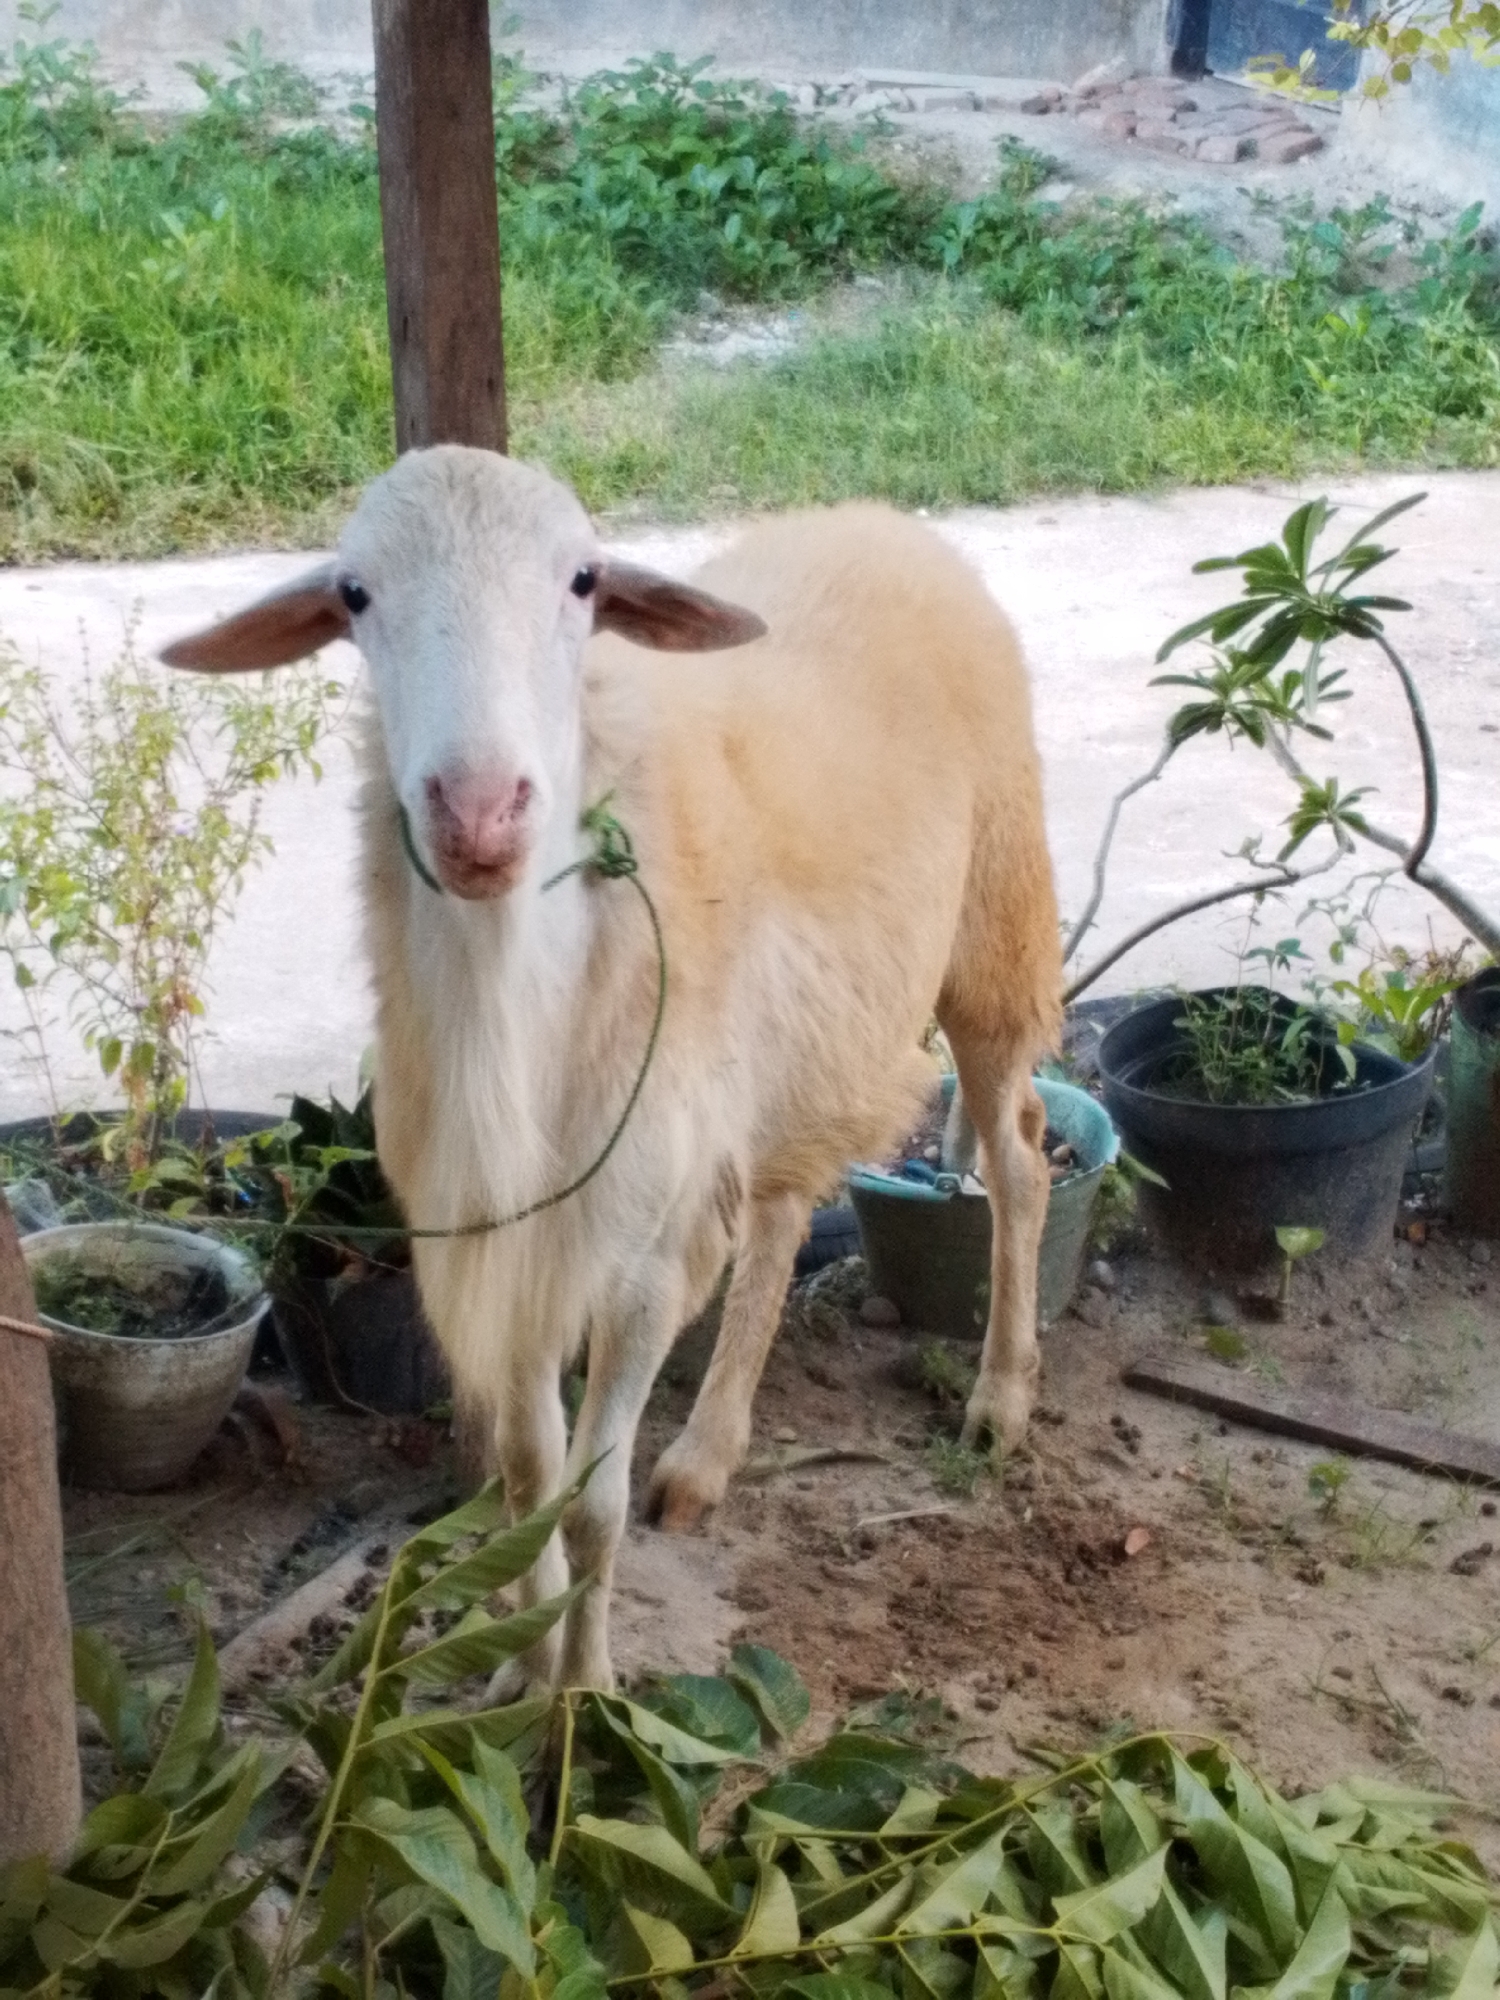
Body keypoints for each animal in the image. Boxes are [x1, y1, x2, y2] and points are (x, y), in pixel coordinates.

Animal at [162, 446, 1062, 1691]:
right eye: (353, 594)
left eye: (583, 580)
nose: (480, 809)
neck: (517, 1005)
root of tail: (893, 522)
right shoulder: (518, 1231)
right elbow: (527, 1482)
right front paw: (517, 1667)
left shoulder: (635, 1256)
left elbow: (589, 1508)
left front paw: (582, 1699)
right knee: (779, 1219)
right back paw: (707, 1455)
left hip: (993, 927)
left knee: (1020, 1165)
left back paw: (998, 1399)